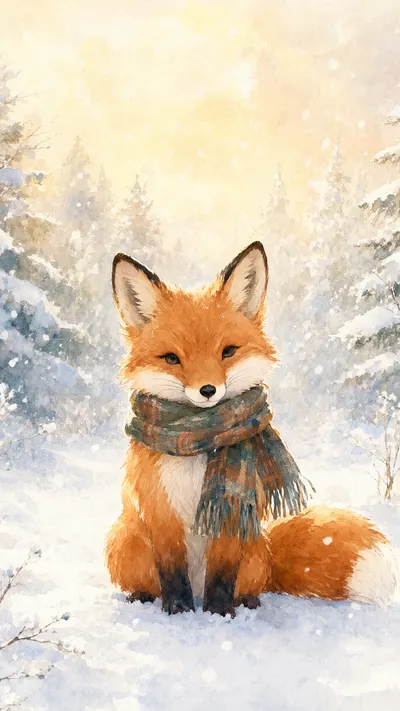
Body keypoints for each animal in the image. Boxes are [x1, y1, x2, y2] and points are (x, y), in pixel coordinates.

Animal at [105, 241, 399, 616]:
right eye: (172, 358)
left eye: (228, 352)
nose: (208, 390)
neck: (199, 441)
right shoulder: (159, 510)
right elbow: (172, 571)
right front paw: (179, 611)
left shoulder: (235, 514)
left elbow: (222, 575)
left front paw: (219, 615)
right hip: (124, 539)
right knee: (147, 580)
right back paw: (143, 596)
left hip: (256, 550)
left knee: (249, 582)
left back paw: (247, 601)